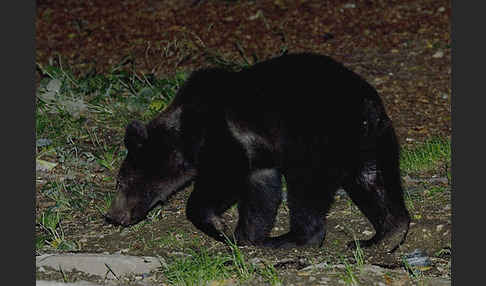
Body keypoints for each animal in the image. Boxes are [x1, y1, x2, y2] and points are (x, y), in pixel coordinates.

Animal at [106, 53, 410, 250]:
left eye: (120, 182)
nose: (112, 216)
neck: (186, 135)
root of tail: (366, 104)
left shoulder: (224, 137)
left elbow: (223, 179)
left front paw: (220, 227)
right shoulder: (258, 157)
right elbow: (262, 192)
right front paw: (246, 235)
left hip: (319, 140)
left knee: (307, 188)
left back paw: (290, 239)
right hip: (372, 140)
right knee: (374, 180)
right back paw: (384, 235)